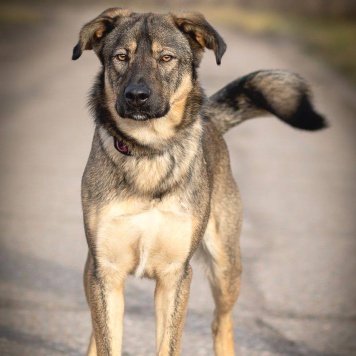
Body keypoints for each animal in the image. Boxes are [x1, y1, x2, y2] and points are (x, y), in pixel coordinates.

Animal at [72, 8, 326, 356]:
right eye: (121, 57)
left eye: (166, 57)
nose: (136, 96)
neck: (148, 152)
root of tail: (211, 119)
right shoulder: (106, 271)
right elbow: (108, 337)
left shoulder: (176, 275)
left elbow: (169, 344)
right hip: (92, 270)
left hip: (226, 265)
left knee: (222, 321)